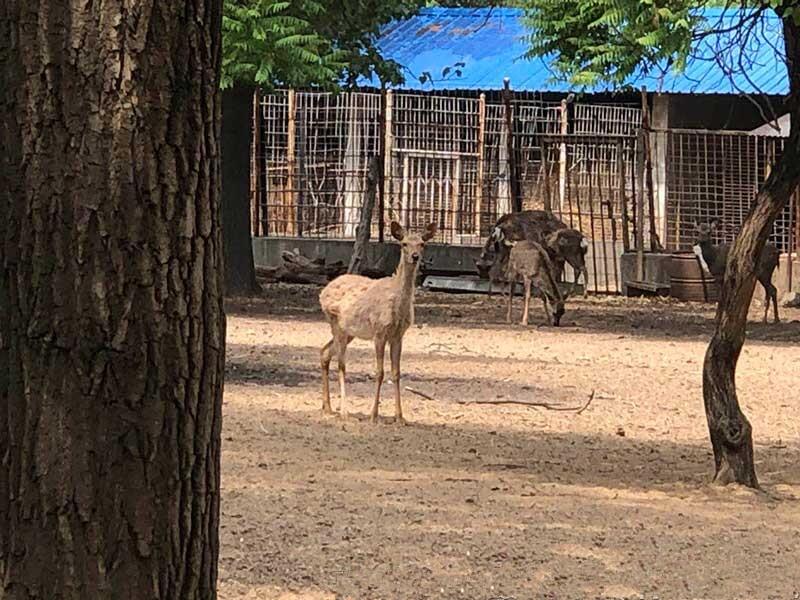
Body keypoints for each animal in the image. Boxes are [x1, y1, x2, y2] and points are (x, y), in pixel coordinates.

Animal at [318, 220, 438, 422]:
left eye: (422, 243)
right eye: (404, 243)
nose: (415, 257)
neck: (397, 307)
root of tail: (322, 293)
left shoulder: (398, 335)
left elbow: (396, 373)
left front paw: (400, 417)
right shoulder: (379, 332)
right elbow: (380, 372)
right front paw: (374, 415)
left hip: (349, 332)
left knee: (325, 352)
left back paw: (327, 407)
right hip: (335, 323)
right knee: (341, 364)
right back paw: (344, 411)